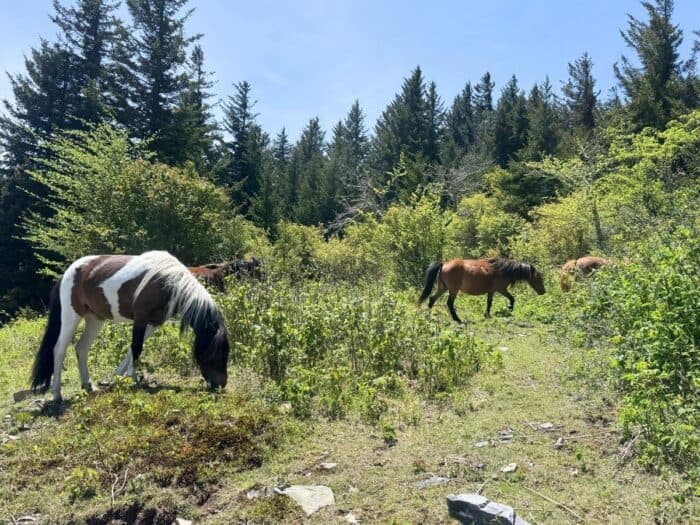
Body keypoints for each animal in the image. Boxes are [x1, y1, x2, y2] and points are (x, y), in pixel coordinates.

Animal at [31, 251, 230, 404]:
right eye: (214, 353)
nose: (221, 384)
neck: (167, 281)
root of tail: (69, 272)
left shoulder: (153, 323)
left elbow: (132, 349)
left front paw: (118, 377)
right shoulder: (140, 319)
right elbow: (136, 347)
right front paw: (133, 378)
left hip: (95, 319)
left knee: (82, 347)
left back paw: (88, 385)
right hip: (71, 316)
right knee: (59, 349)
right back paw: (57, 394)